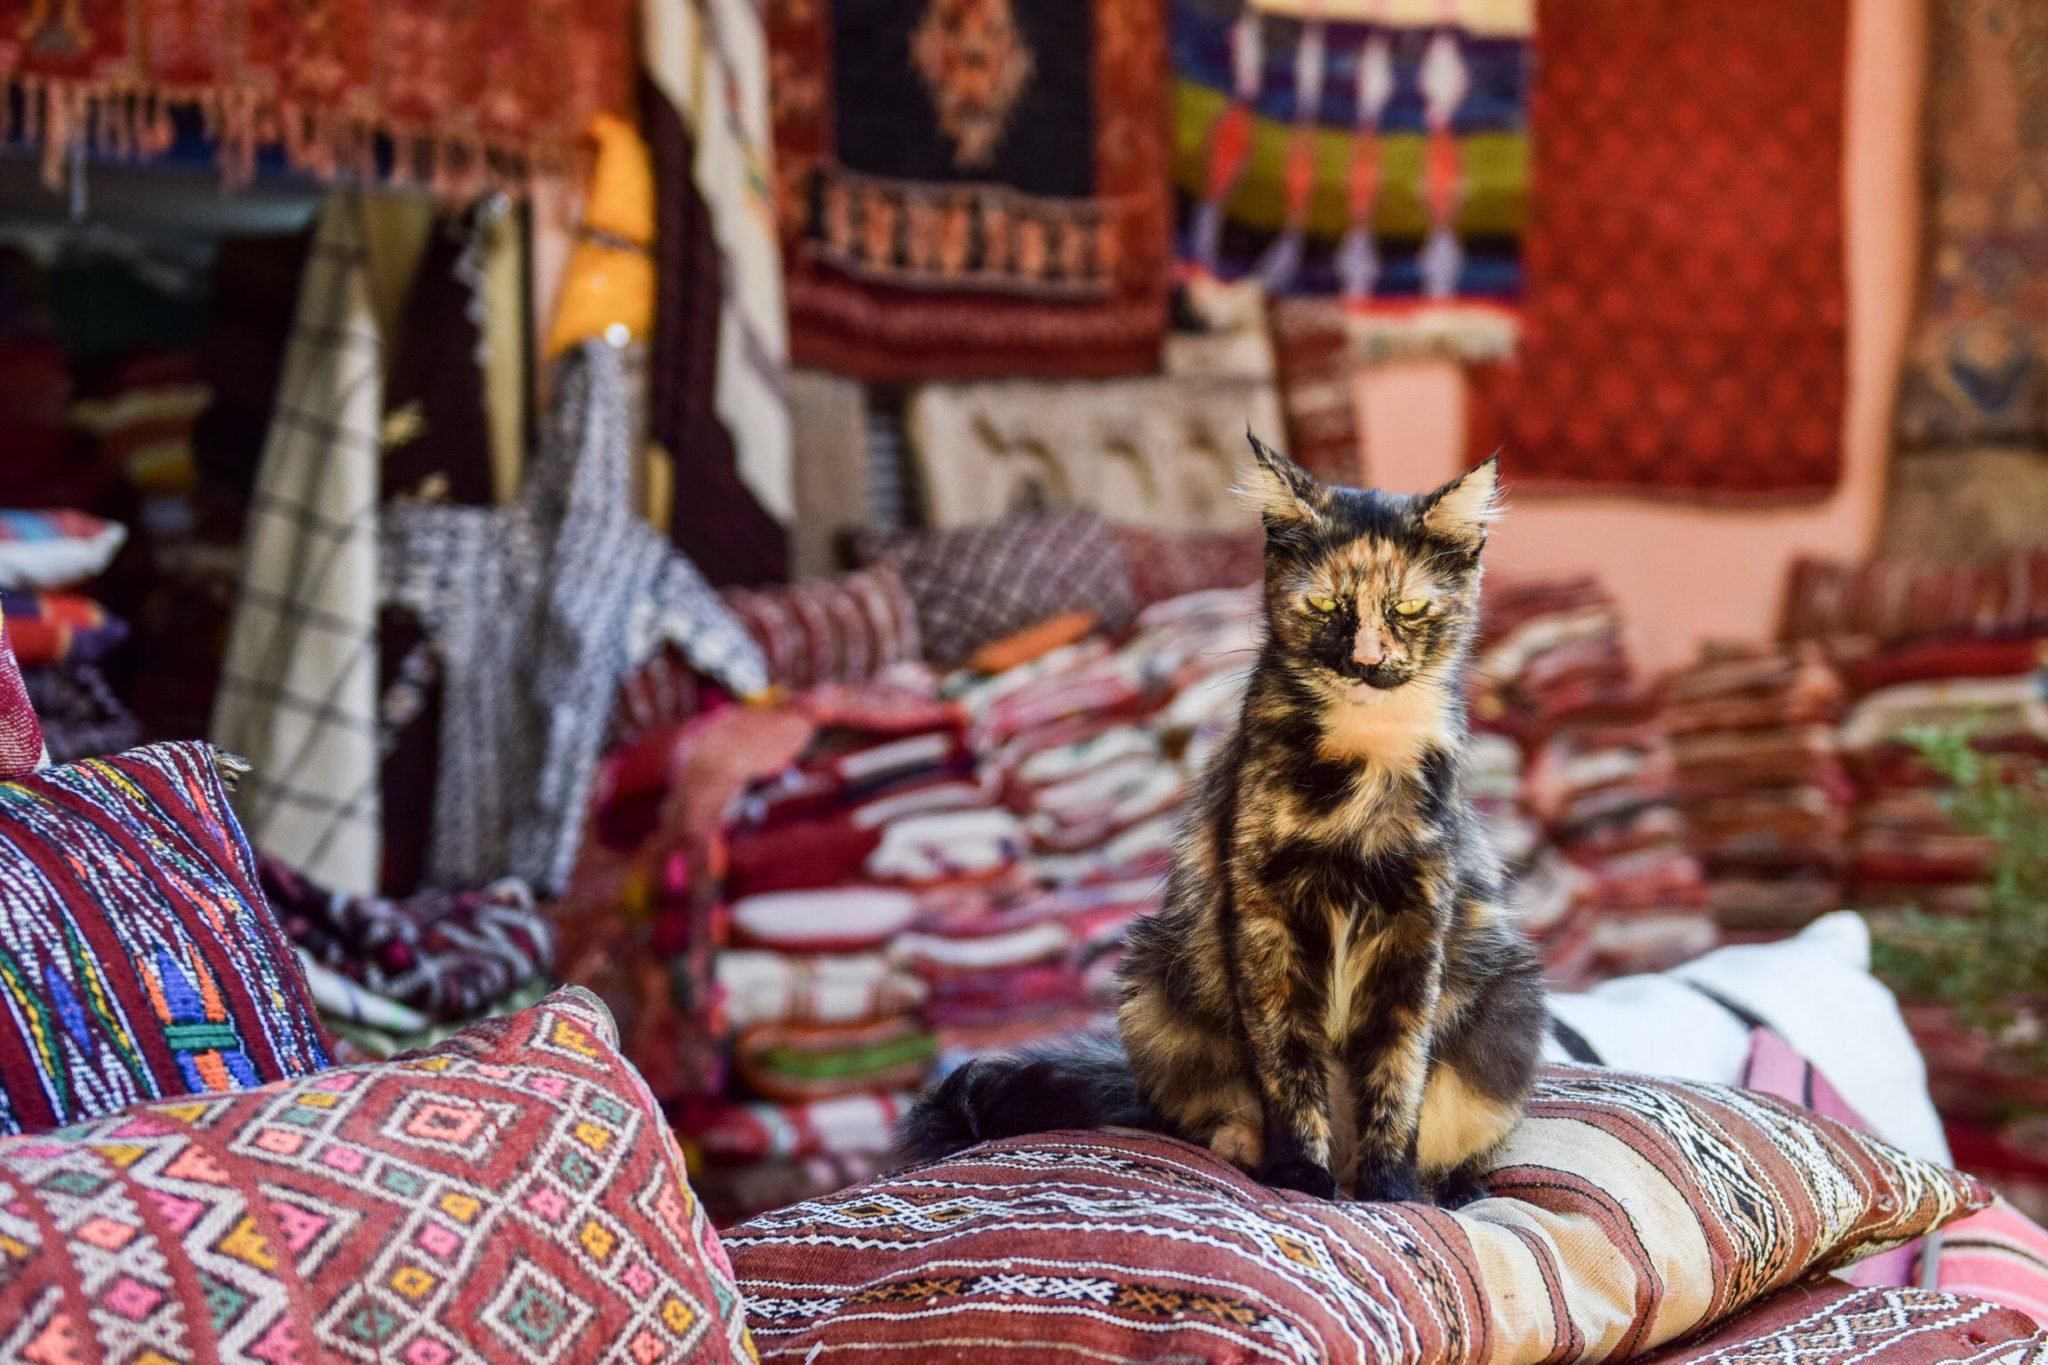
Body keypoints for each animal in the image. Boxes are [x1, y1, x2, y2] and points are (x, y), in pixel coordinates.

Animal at [905, 437, 1540, 1203]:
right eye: (1323, 602)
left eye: (1410, 605)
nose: (1366, 660)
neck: (1363, 762)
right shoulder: (1262, 914)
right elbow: (1288, 1063)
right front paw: (1299, 1177)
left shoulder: (1418, 923)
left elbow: (1398, 1070)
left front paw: (1391, 1190)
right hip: (1152, 979)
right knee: (1205, 1113)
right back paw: (1251, 1156)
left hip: (1512, 1003)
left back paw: (1452, 1185)